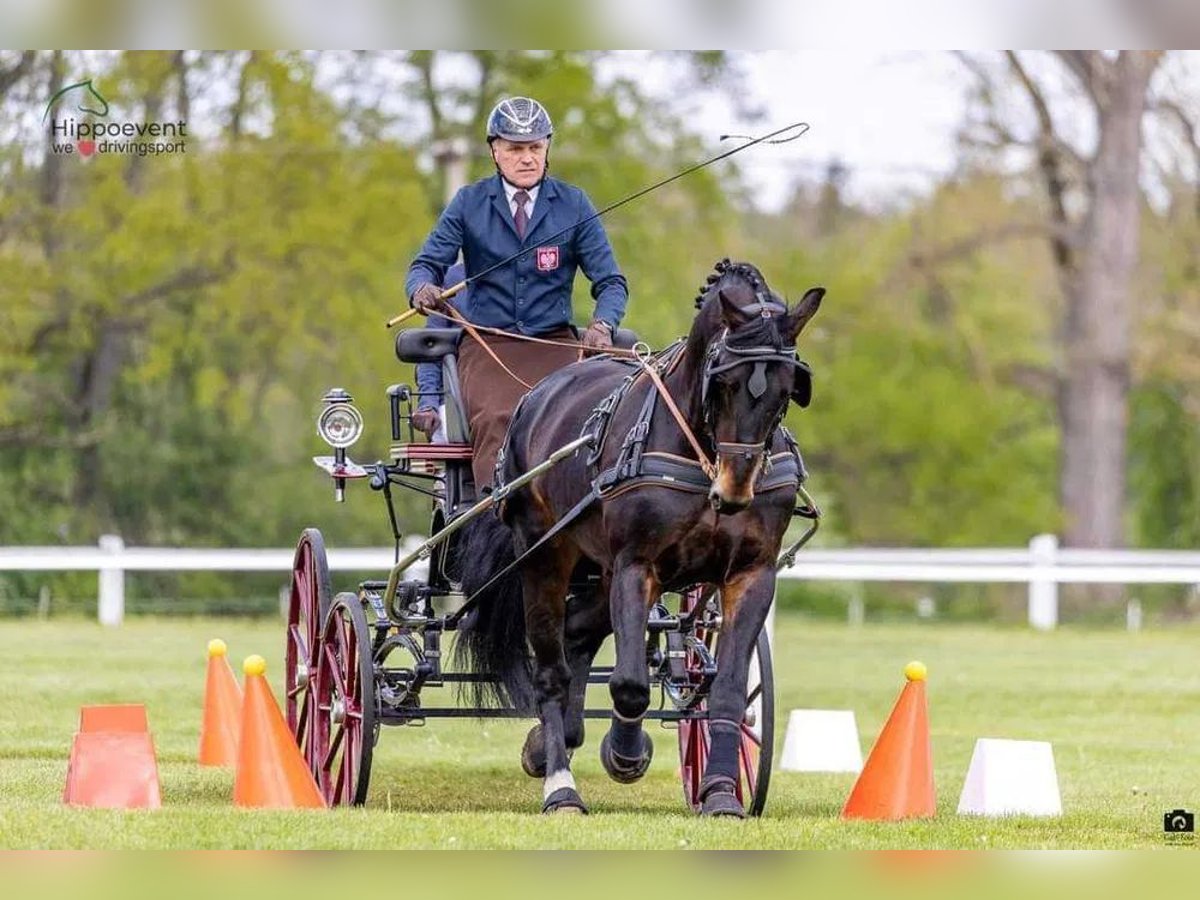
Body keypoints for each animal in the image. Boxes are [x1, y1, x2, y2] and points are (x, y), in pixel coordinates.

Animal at [453, 259, 820, 816]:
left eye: (786, 390)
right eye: (725, 381)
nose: (735, 487)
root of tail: (537, 394)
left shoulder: (751, 573)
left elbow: (731, 691)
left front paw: (720, 792)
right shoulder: (636, 565)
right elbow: (629, 684)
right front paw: (625, 753)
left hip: (598, 571)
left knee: (577, 636)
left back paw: (554, 742)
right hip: (544, 555)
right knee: (551, 671)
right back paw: (559, 783)